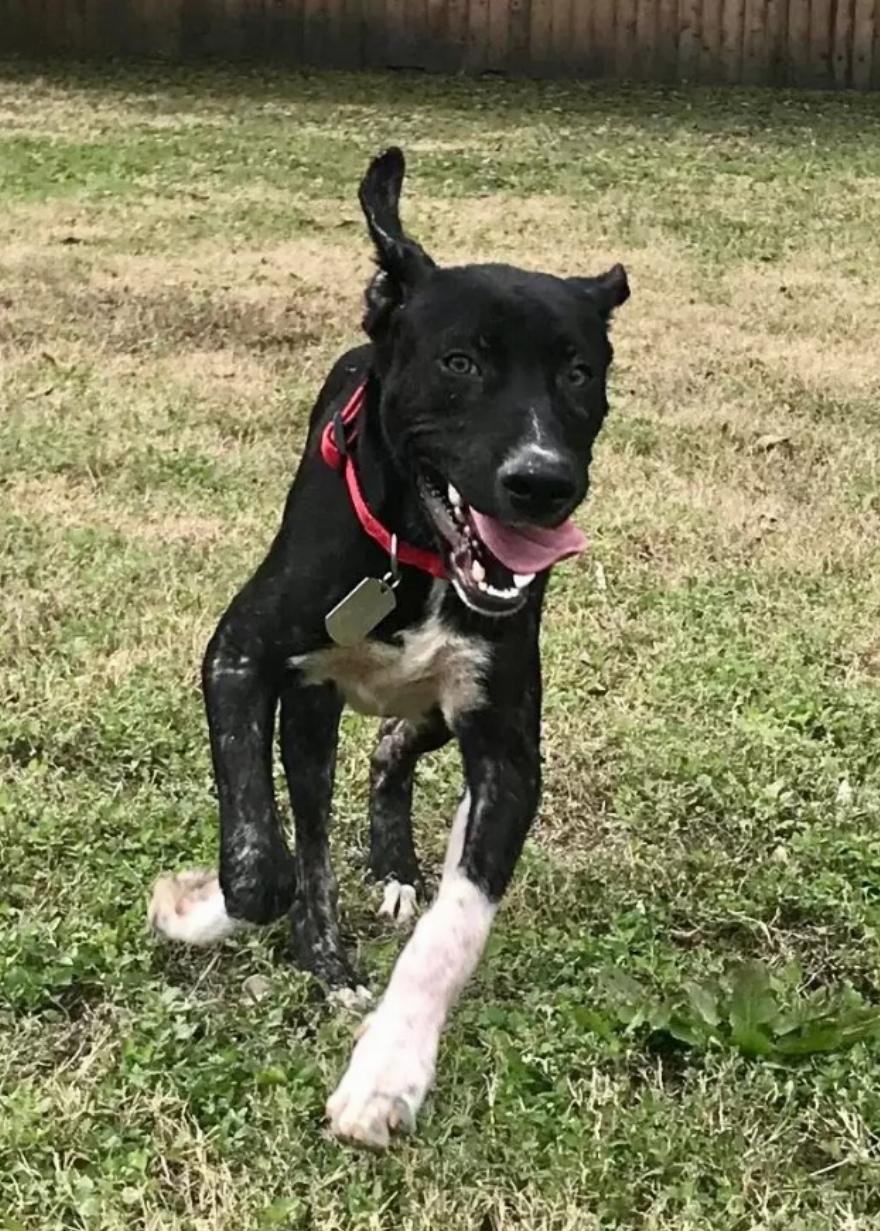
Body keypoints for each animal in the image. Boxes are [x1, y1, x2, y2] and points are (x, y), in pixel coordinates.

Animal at [149, 146, 629, 1148]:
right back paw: (324, 949)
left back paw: (398, 867)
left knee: (393, 748)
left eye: (578, 372)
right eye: (460, 361)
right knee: (314, 819)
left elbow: (456, 924)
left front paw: (389, 1071)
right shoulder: (241, 657)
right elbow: (263, 860)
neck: (414, 556)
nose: (542, 483)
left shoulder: (504, 740)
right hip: (313, 711)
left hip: (432, 706)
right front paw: (203, 906)